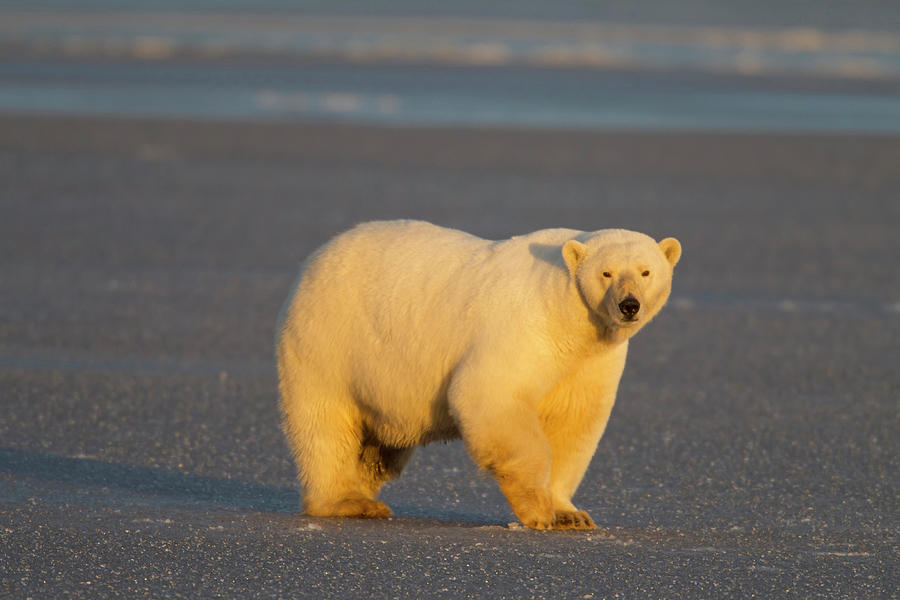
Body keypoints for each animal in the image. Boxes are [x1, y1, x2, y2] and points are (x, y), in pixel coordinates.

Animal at [278, 220, 680, 528]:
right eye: (606, 272)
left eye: (646, 271)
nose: (629, 305)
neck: (566, 311)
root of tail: (316, 259)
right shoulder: (524, 328)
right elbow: (490, 396)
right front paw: (537, 510)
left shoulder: (590, 360)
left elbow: (573, 422)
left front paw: (571, 514)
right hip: (330, 343)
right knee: (325, 425)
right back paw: (348, 501)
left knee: (381, 449)